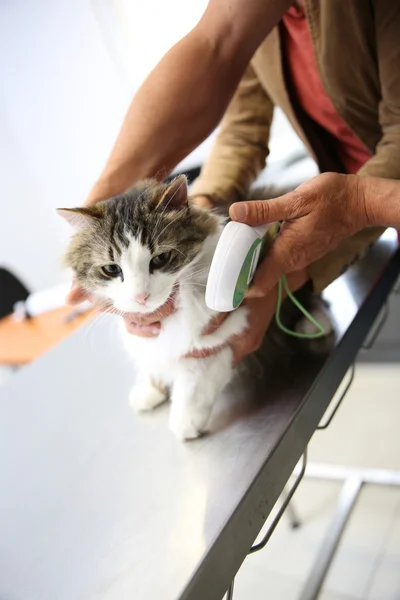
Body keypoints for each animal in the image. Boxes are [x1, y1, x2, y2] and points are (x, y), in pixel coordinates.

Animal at [57, 173, 332, 440]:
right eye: (112, 269)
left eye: (160, 259)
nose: (140, 297)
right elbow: (153, 364)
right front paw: (150, 390)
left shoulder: (219, 339)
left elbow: (192, 386)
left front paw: (185, 424)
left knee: (313, 297)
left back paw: (314, 323)